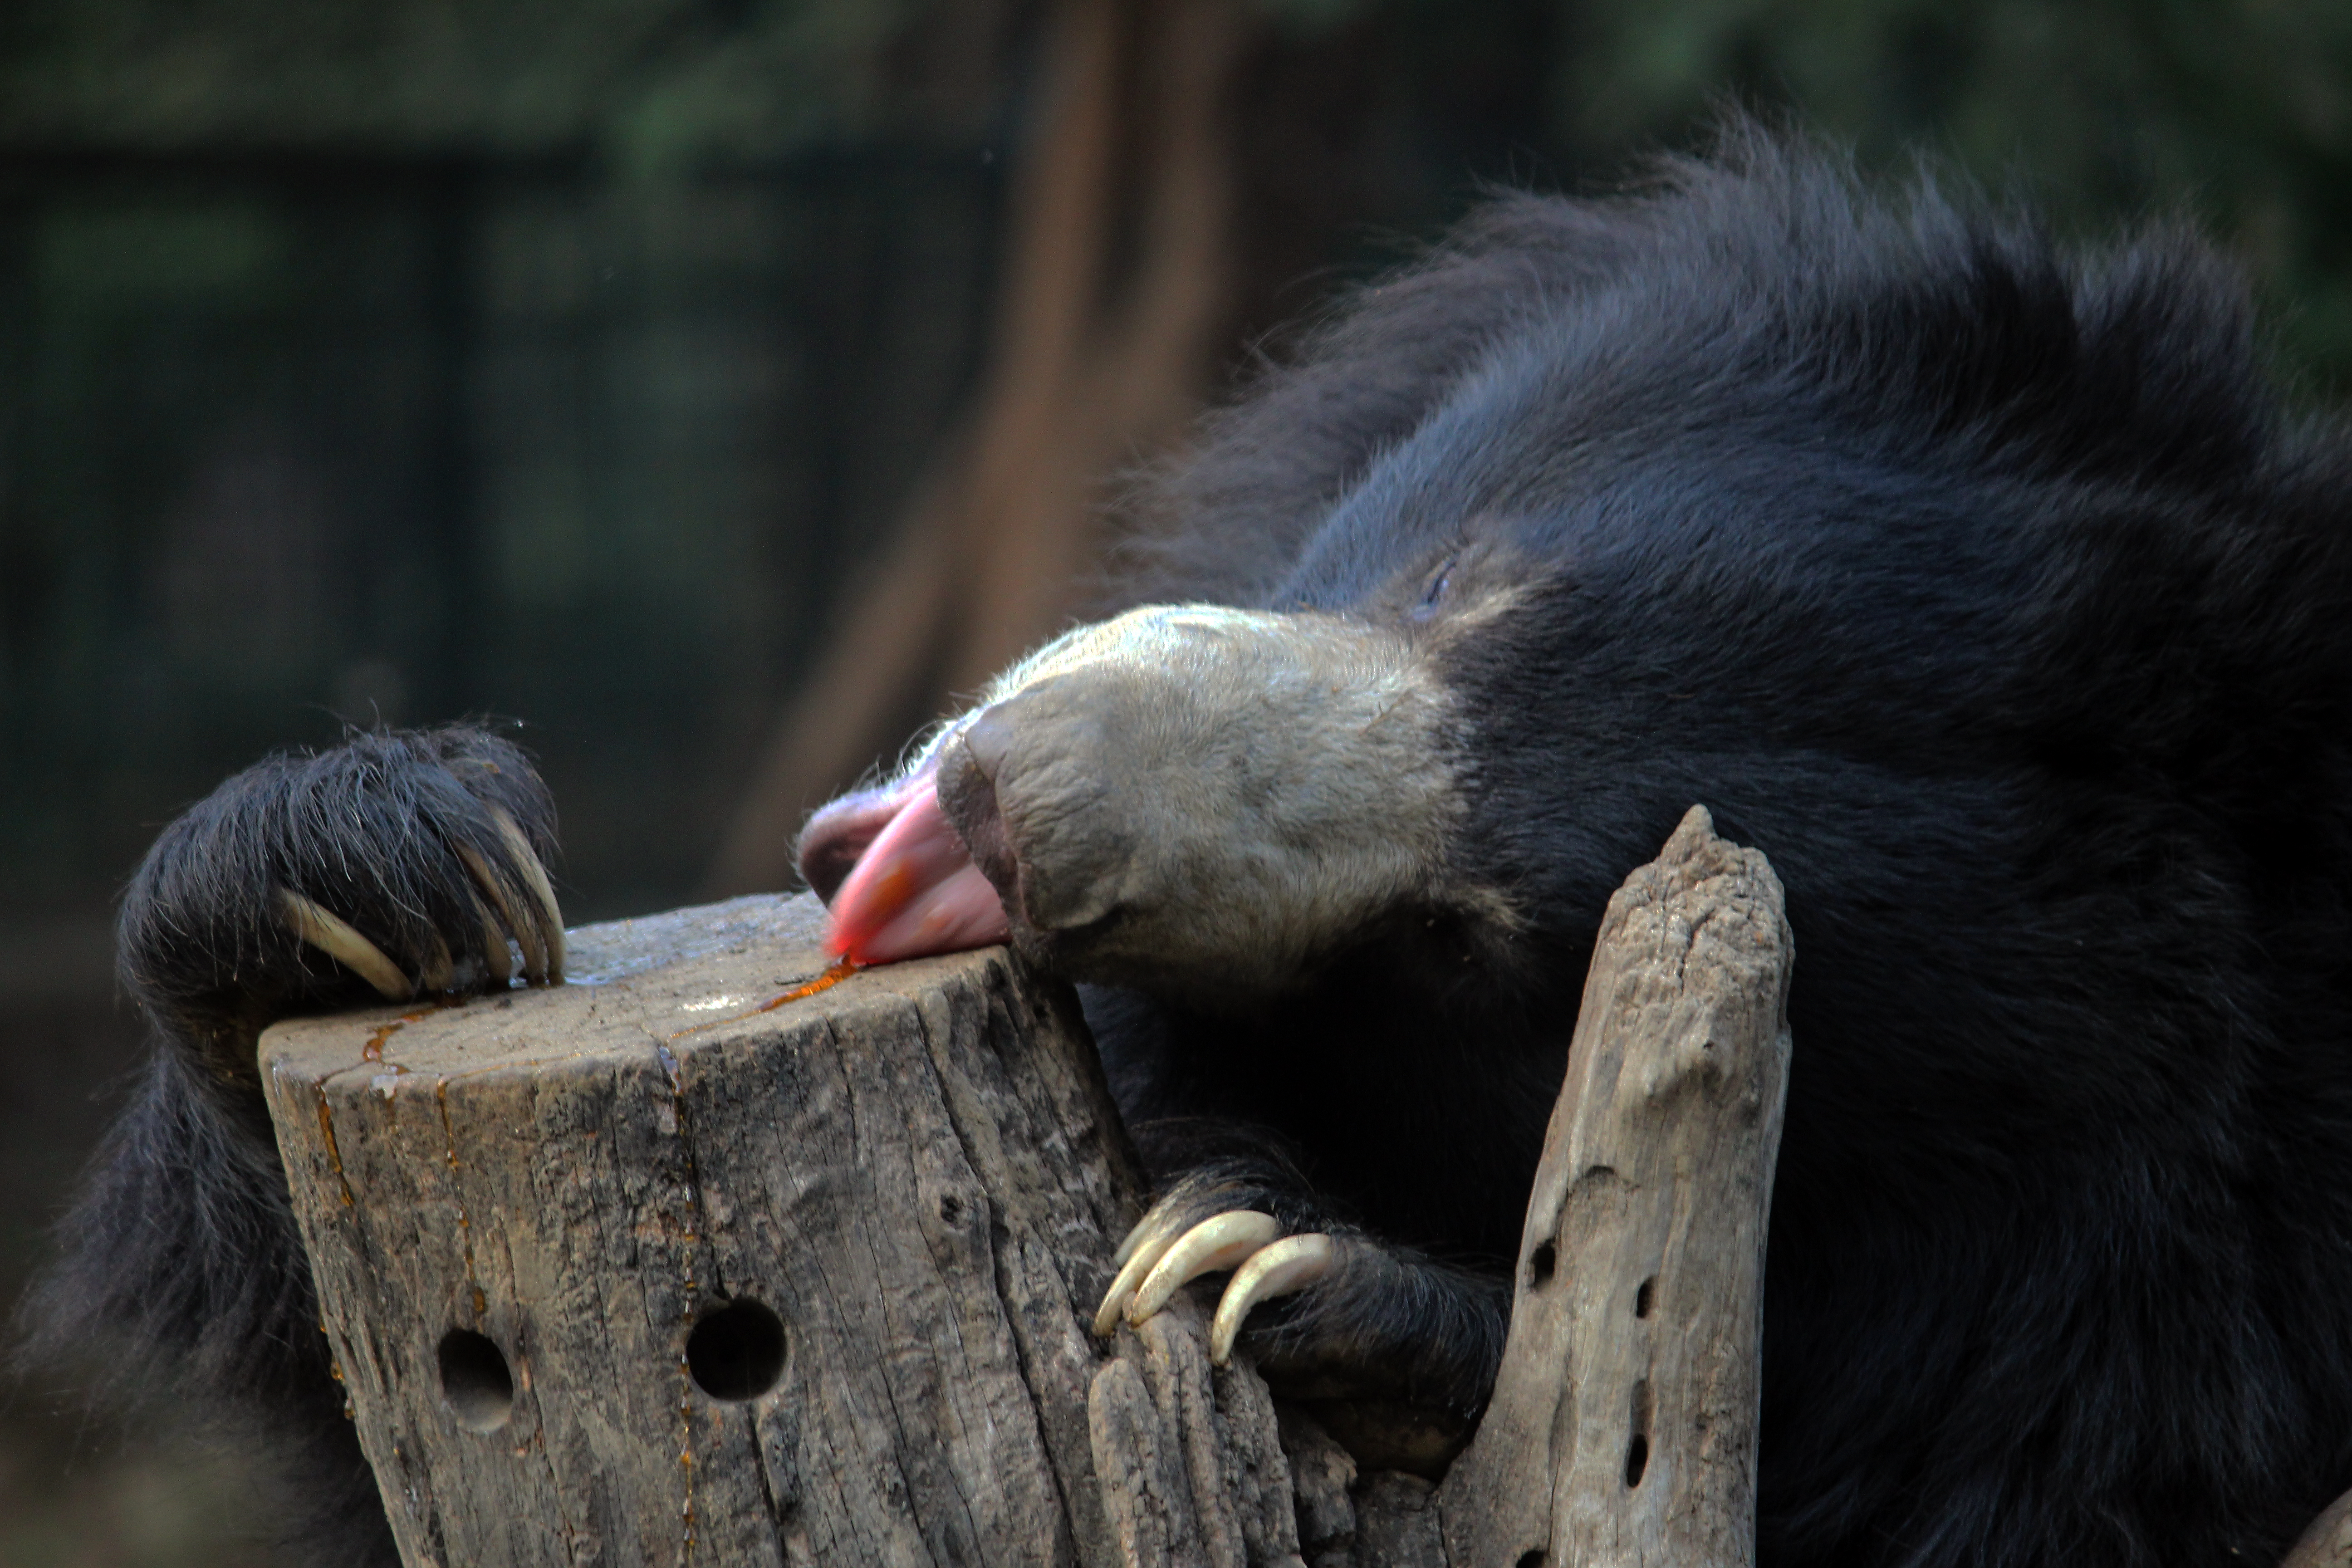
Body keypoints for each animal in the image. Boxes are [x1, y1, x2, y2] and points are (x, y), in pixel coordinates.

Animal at [27, 123, 2352, 1567]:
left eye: (1480, 947)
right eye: (1465, 582)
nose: (987, 817)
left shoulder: (2118, 1365)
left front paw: (1268, 1260)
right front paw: (376, 866)